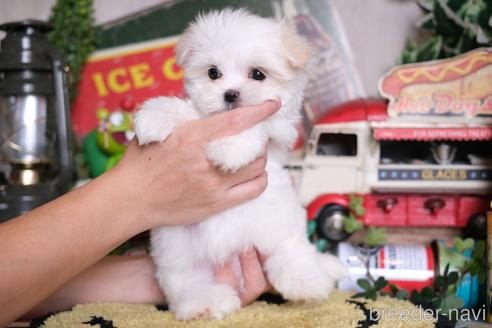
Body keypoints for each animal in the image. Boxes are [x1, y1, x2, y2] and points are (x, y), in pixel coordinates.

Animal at [135, 9, 348, 320]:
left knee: (291, 251)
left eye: (258, 74)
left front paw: (230, 148)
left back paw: (304, 281)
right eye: (213, 73)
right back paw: (203, 304)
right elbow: (188, 112)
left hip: (280, 225)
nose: (230, 94)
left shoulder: (276, 131)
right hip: (179, 254)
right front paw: (154, 116)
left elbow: (253, 126)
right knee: (187, 281)